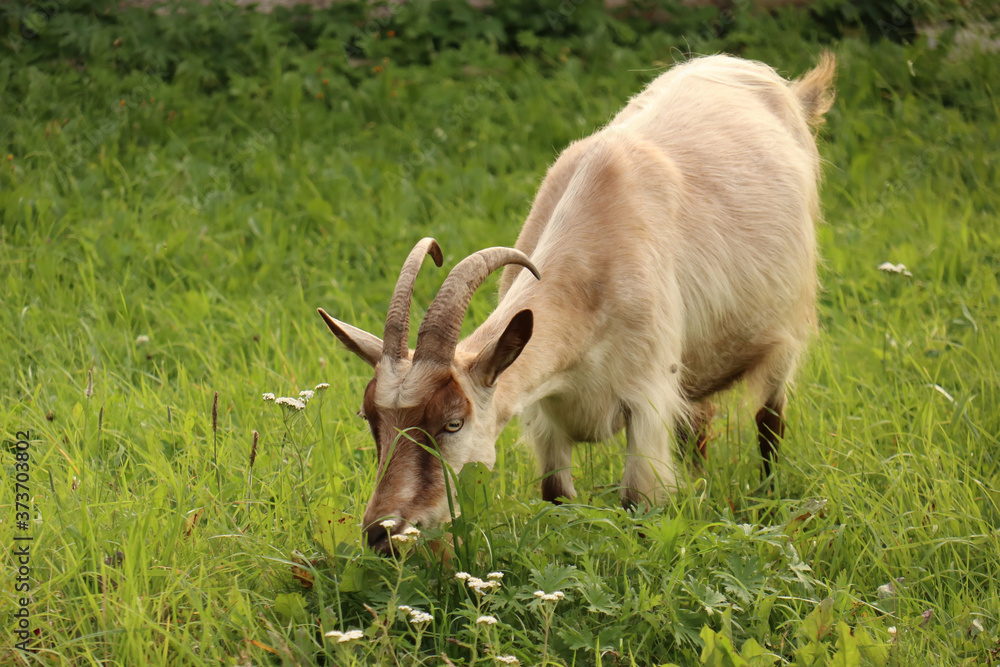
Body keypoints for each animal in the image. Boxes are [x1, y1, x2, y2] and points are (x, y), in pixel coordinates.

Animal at [318, 53, 836, 553]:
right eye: (372, 419)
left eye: (452, 423)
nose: (383, 532)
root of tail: (785, 87)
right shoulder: (545, 416)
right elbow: (558, 500)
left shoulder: (647, 401)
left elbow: (638, 506)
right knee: (699, 427)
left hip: (785, 333)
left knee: (769, 421)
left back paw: (770, 498)